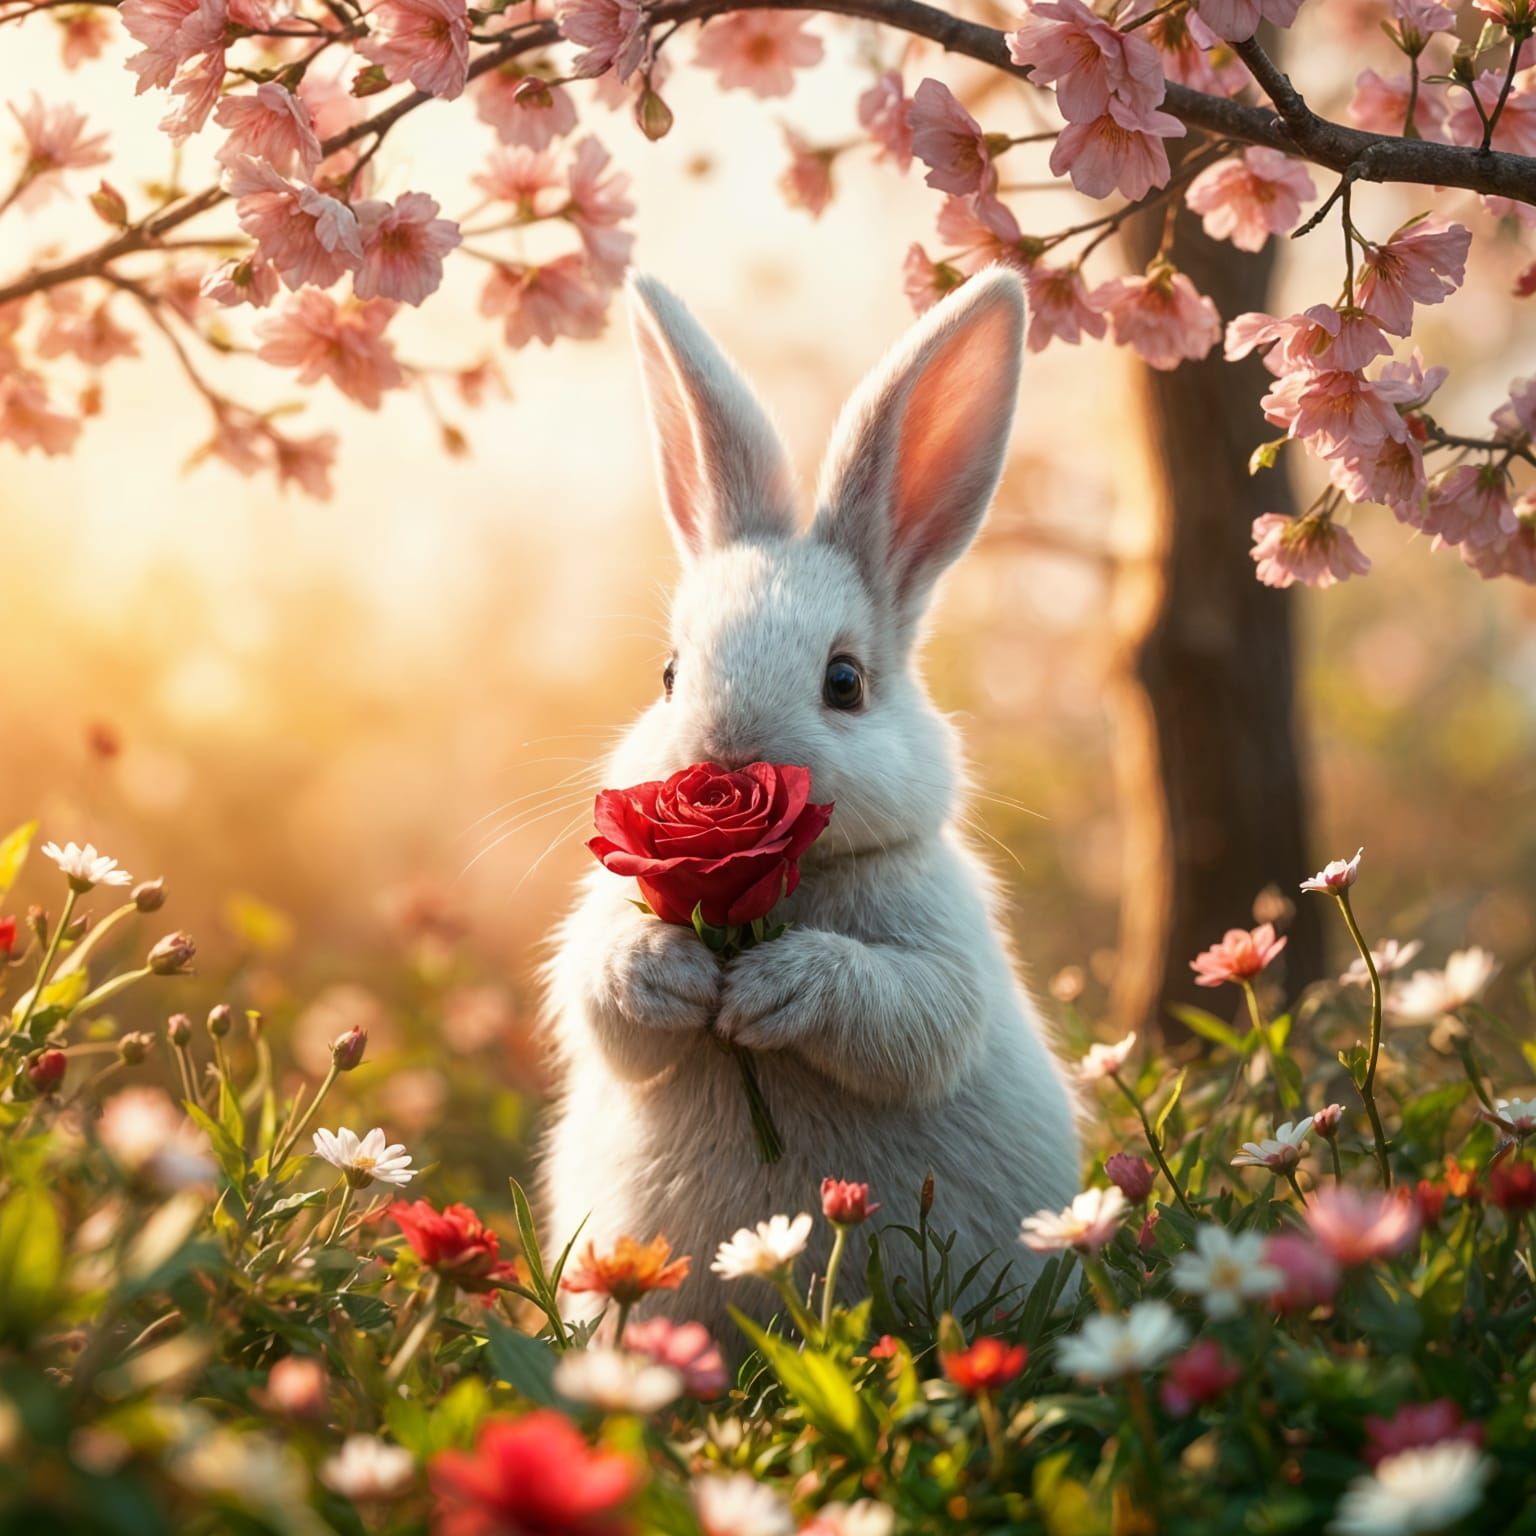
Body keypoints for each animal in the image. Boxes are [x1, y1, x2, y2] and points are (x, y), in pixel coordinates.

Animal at [541, 267, 1082, 1348]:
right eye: (669, 675)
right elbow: (601, 990)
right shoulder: (600, 925)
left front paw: (766, 994)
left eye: (844, 682)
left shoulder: (940, 951)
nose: (721, 761)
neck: (778, 887)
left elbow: (907, 1012)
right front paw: (674, 977)